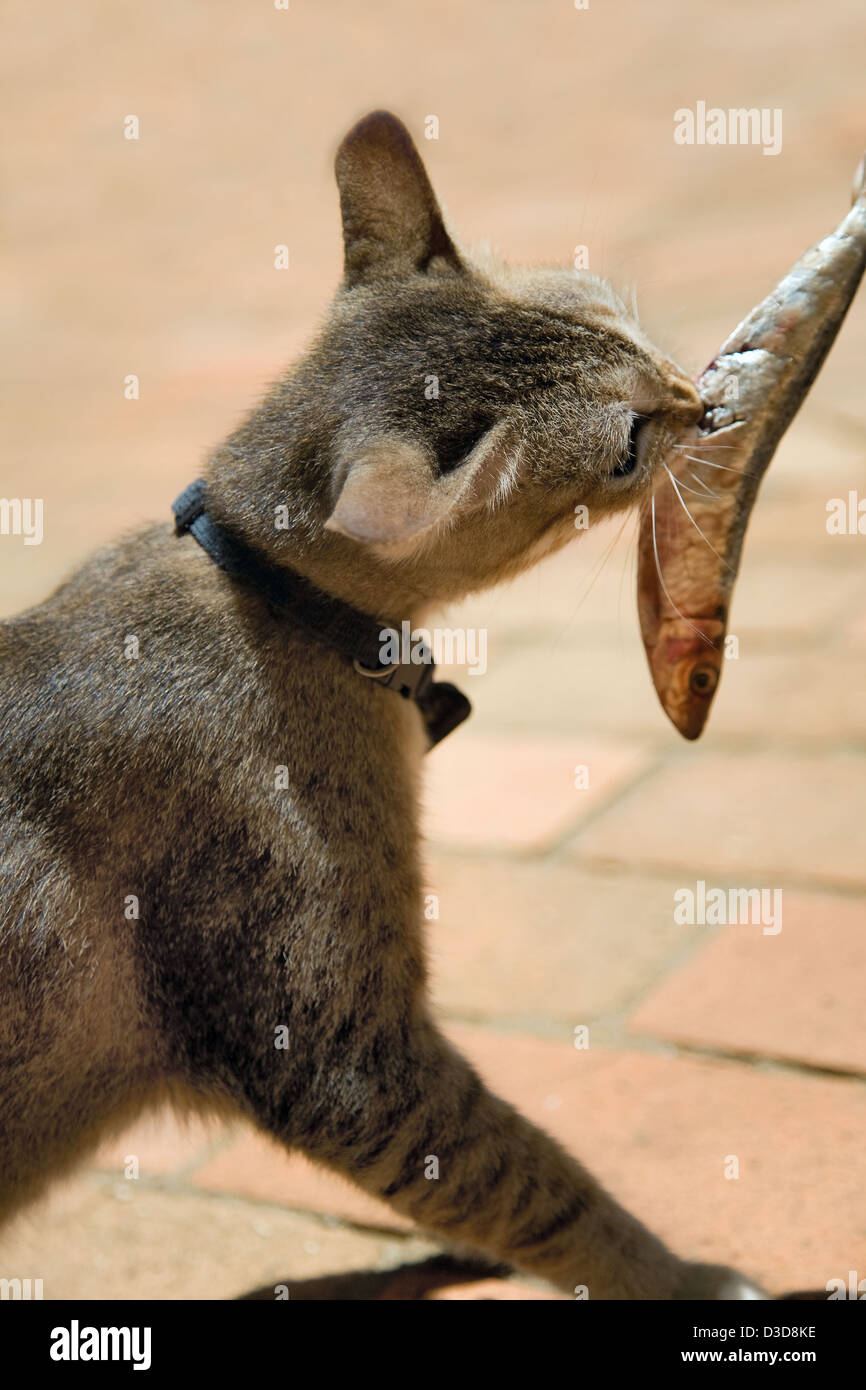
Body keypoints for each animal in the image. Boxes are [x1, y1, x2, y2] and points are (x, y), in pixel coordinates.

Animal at [1, 113, 772, 1295]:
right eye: (628, 445)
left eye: (618, 320)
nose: (703, 399)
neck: (266, 591)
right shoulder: (340, 1055)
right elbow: (533, 1182)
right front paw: (678, 1277)